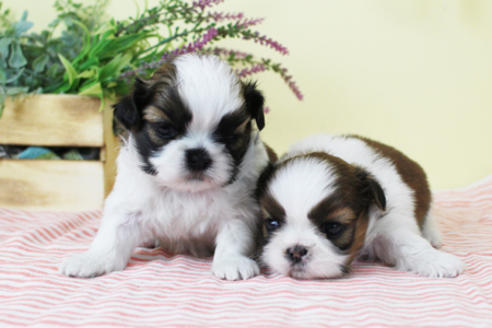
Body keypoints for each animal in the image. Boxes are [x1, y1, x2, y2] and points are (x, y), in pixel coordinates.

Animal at [60, 53, 272, 280]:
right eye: (165, 129)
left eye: (230, 136)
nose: (198, 156)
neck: (185, 191)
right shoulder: (128, 204)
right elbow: (113, 234)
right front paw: (93, 259)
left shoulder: (240, 211)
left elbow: (234, 236)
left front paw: (231, 260)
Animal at [258, 134, 466, 280]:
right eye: (273, 223)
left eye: (333, 227)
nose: (296, 251)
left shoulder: (389, 220)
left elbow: (408, 243)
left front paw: (439, 261)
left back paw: (433, 235)